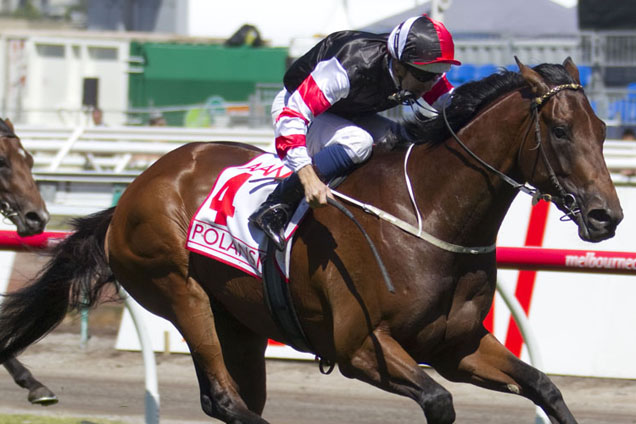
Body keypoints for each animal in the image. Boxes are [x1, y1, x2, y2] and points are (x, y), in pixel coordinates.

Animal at [0, 58, 620, 422]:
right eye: (560, 130)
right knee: (225, 398)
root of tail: (136, 188)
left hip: (241, 325)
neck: (428, 216)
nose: (606, 216)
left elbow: (545, 387)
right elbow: (440, 401)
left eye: (603, 129)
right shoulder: (359, 347)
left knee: (231, 400)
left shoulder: (458, 345)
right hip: (180, 292)